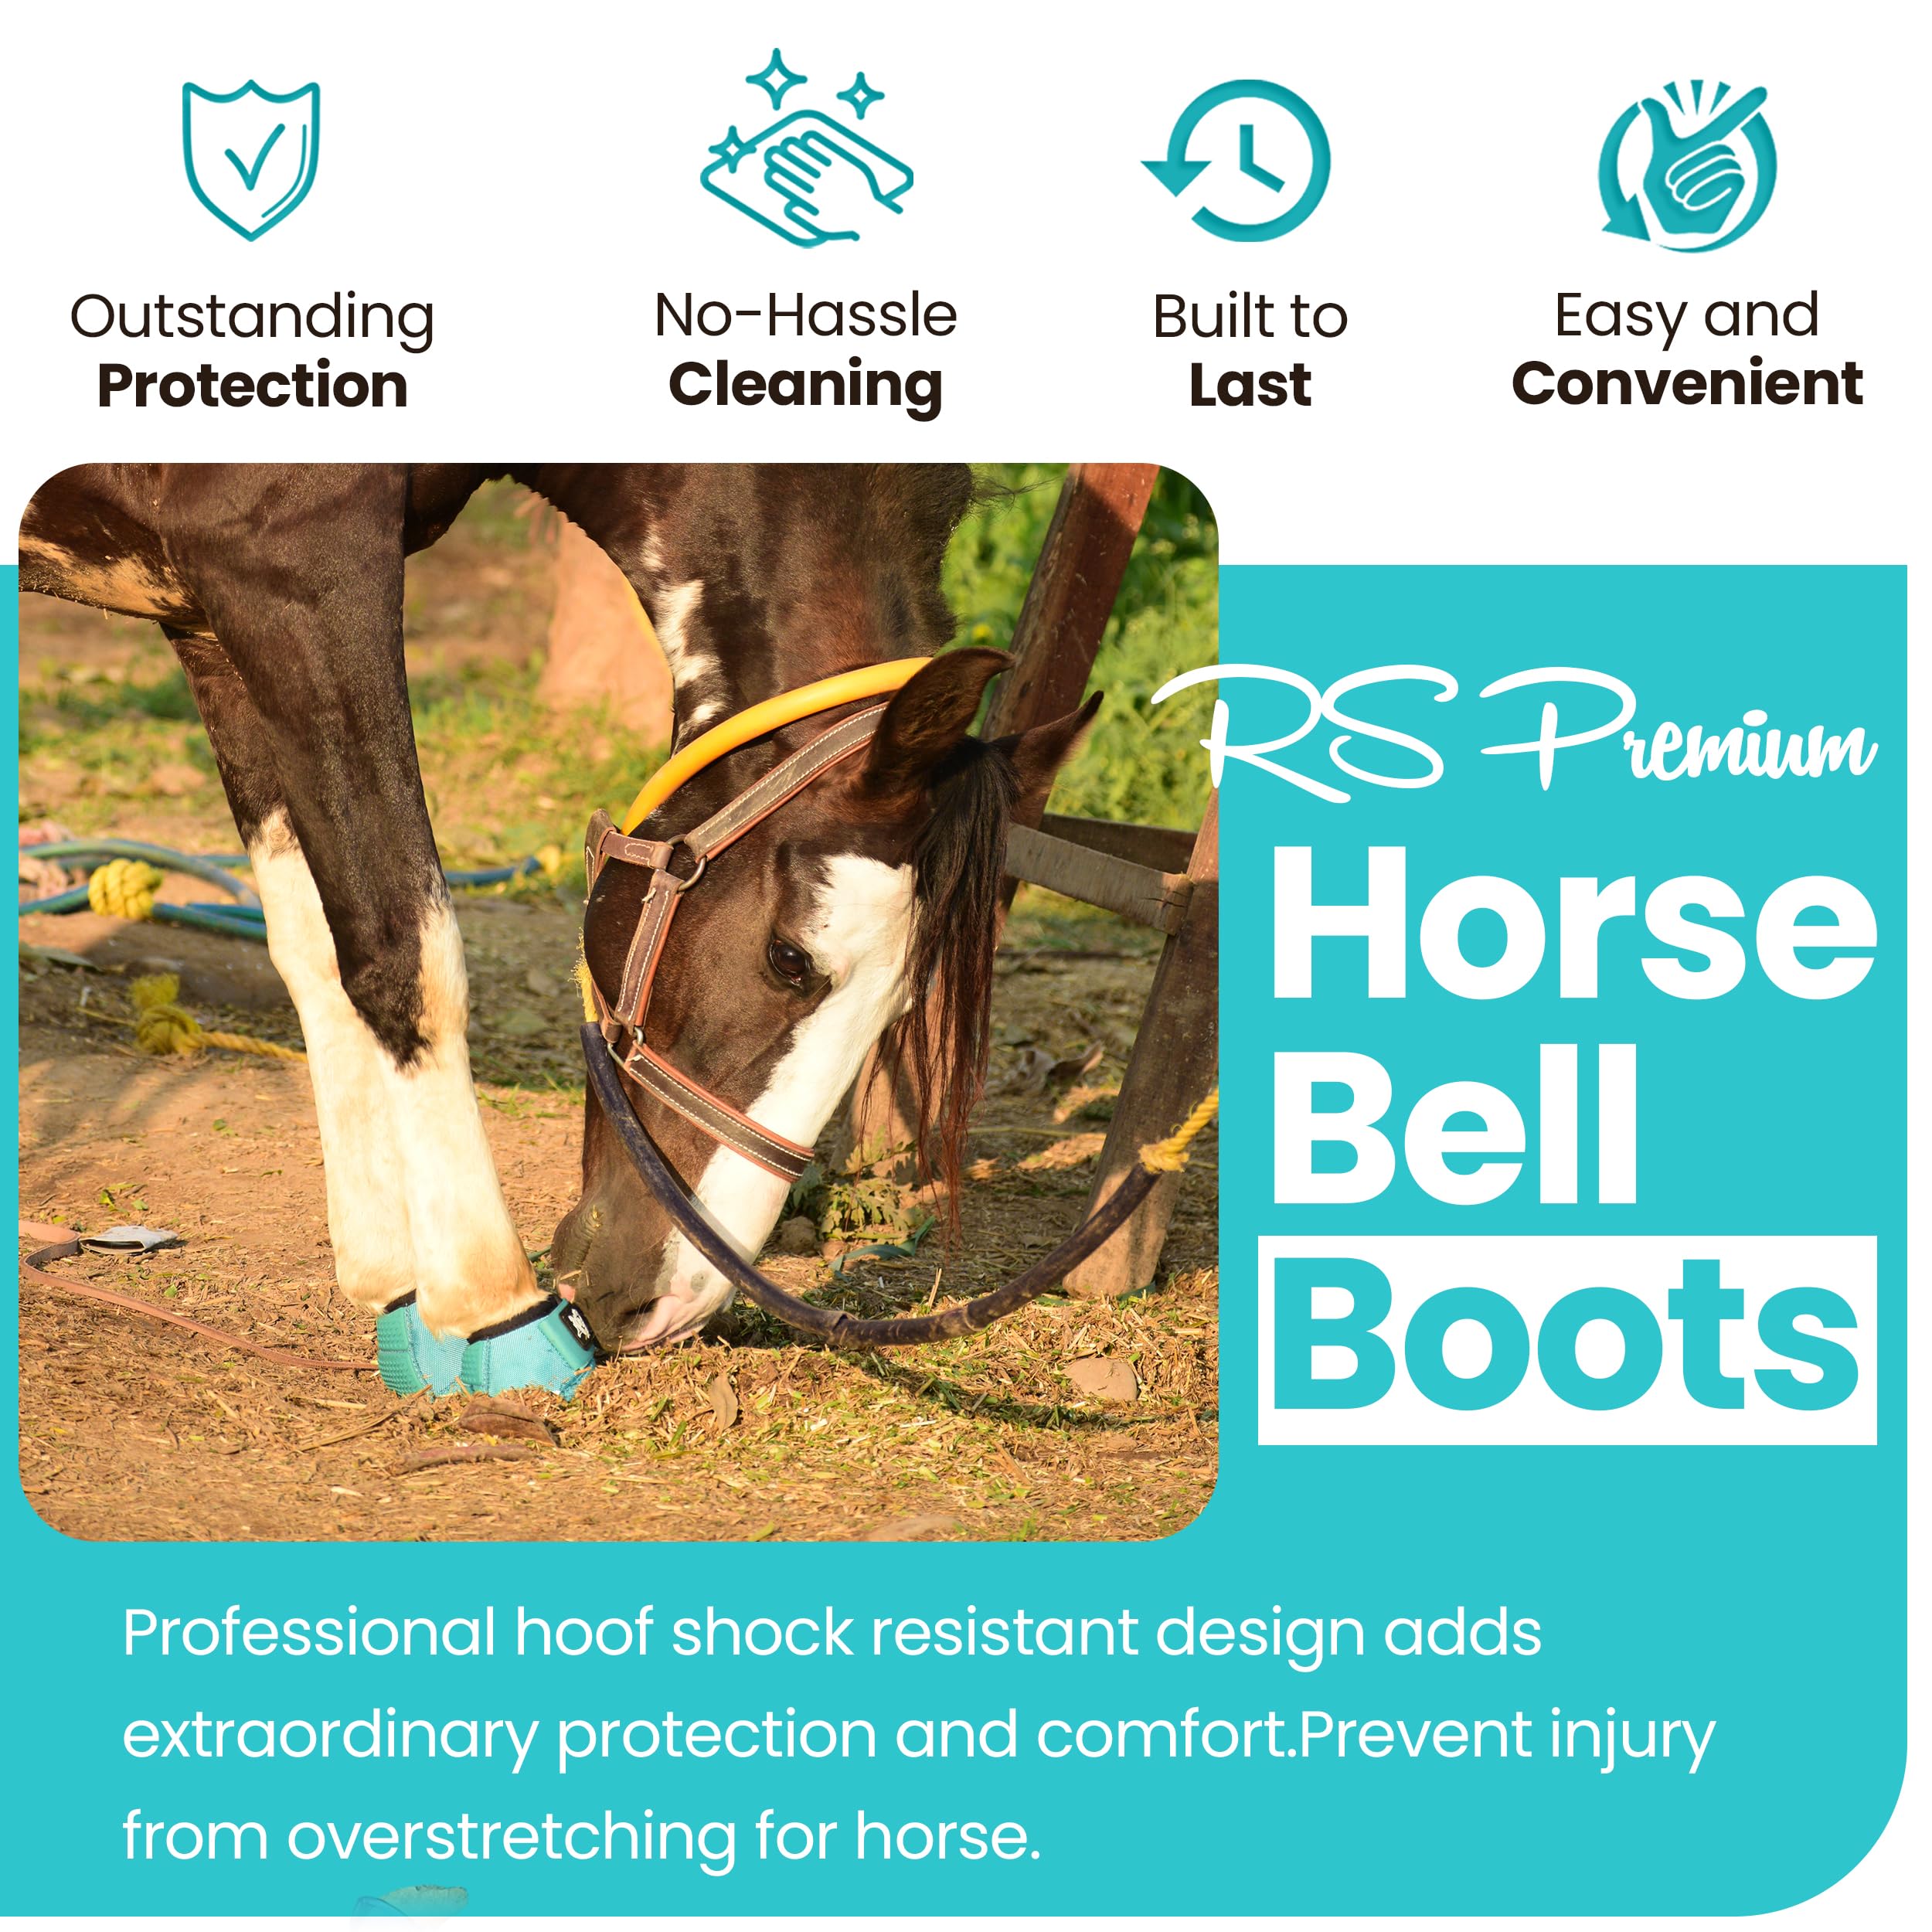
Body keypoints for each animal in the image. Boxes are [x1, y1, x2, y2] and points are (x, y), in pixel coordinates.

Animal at [19, 463, 1095, 1396]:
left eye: (904, 1003)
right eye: (790, 959)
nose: (667, 1305)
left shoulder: (210, 613)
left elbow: (318, 943)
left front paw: (388, 1270)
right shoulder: (293, 564)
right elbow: (405, 946)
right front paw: (493, 1306)